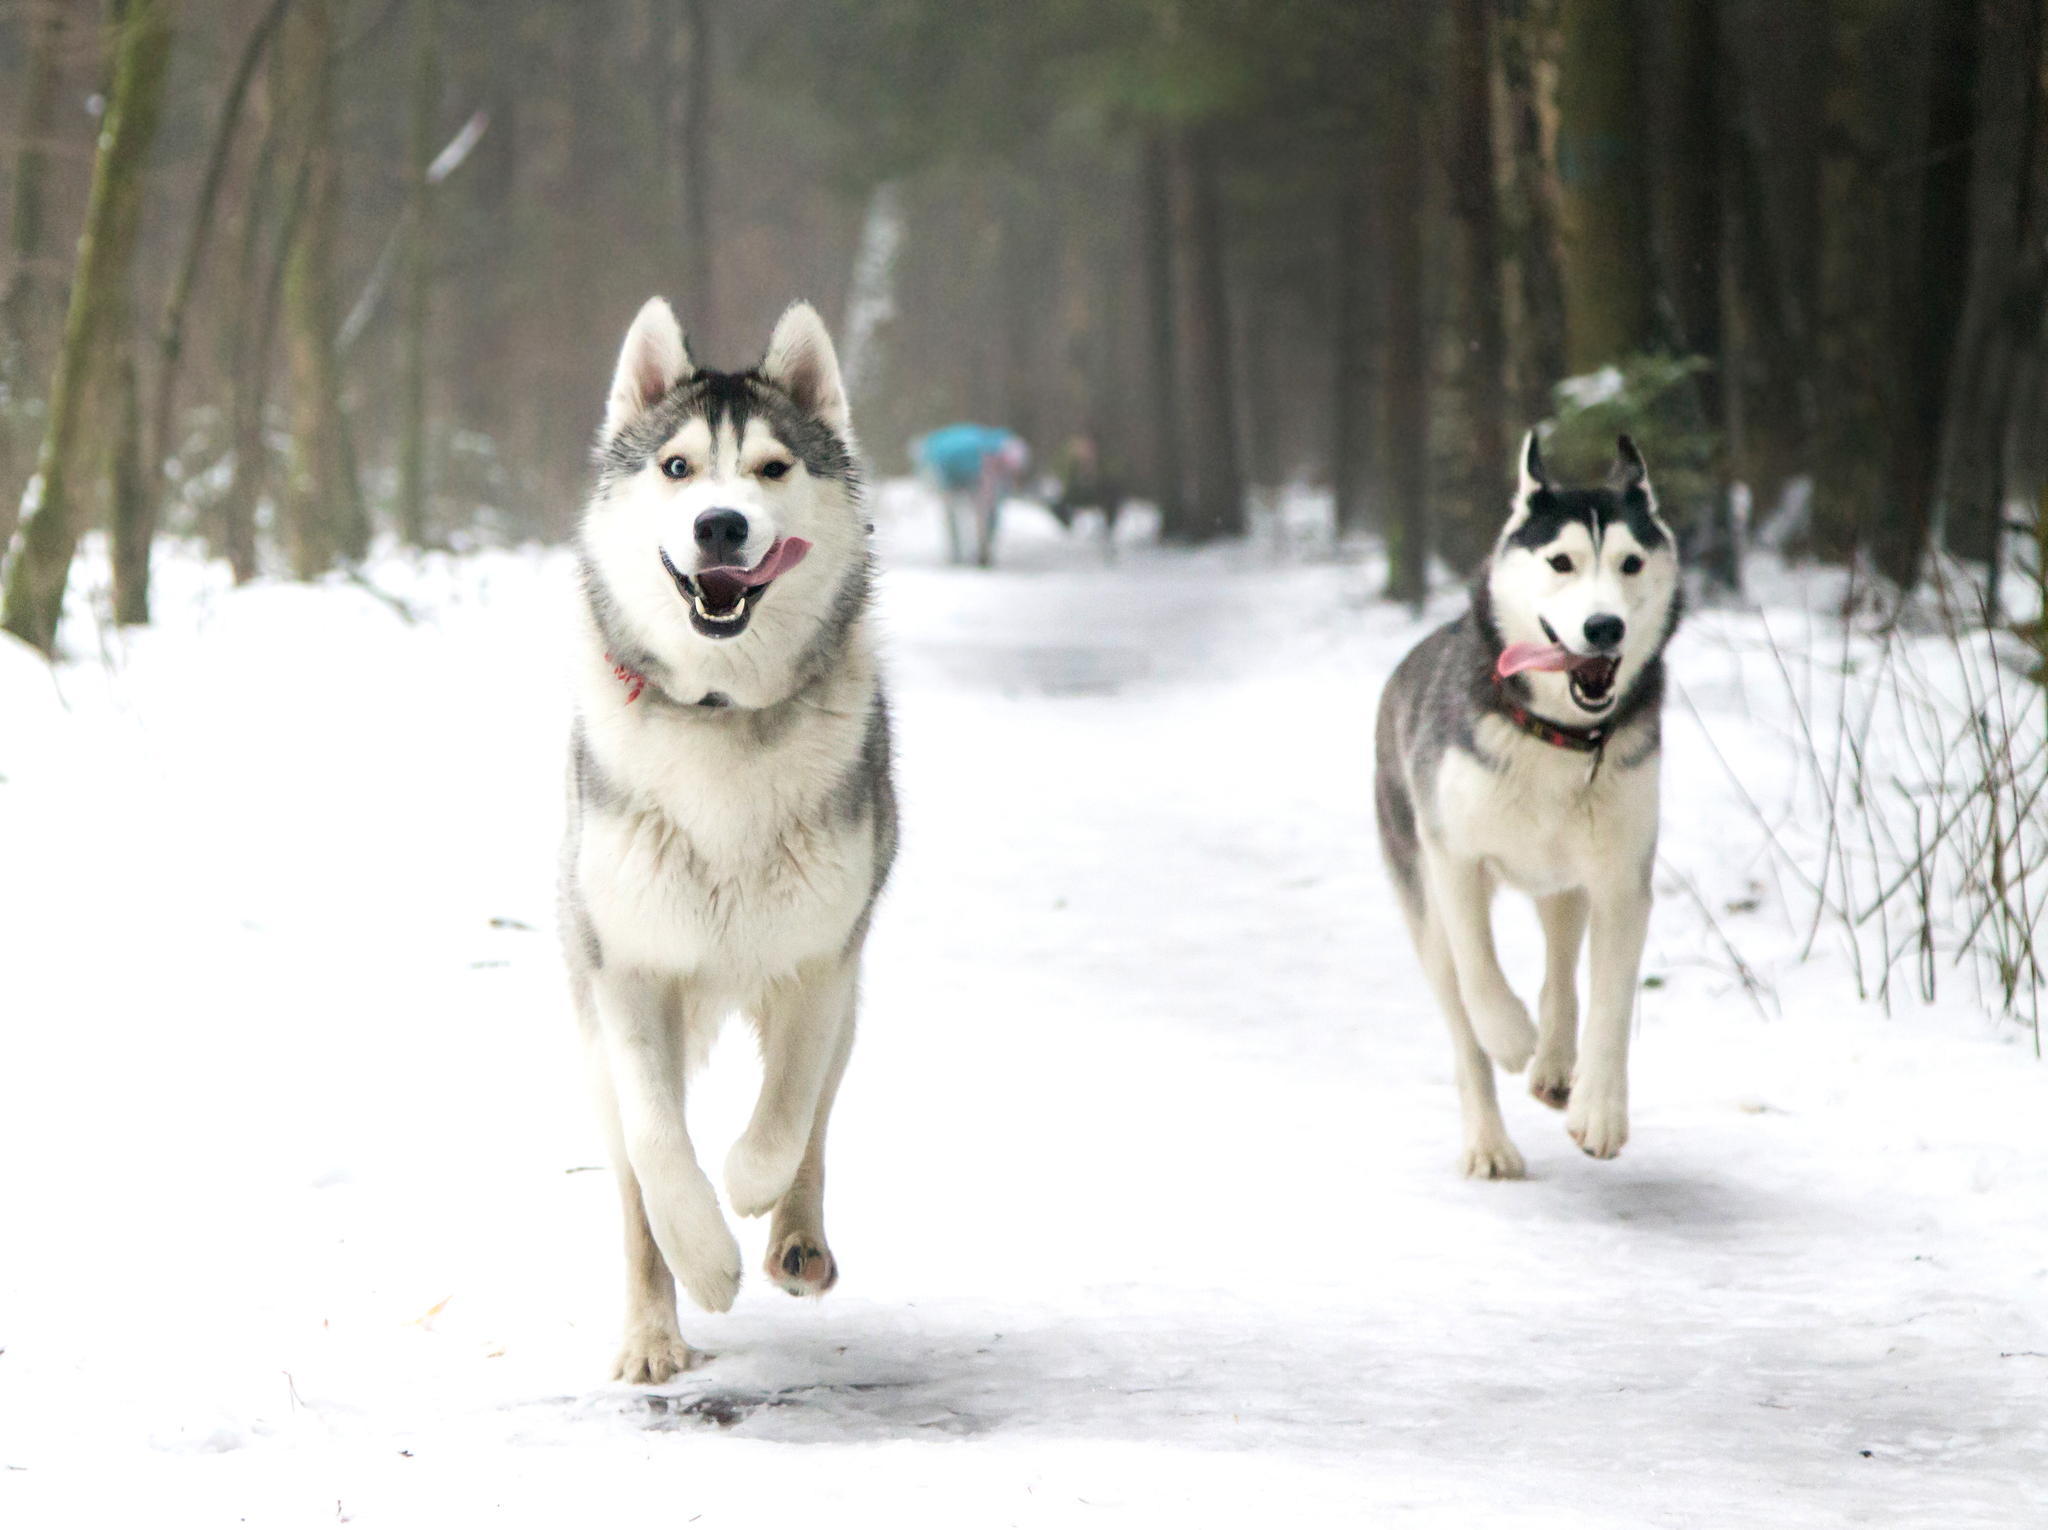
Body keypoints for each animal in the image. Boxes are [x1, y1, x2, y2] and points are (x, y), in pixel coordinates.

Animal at [561, 299, 888, 1384]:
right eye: (677, 468)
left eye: (772, 469)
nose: (720, 524)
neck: (720, 709)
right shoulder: (625, 970)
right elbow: (659, 1148)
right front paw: (703, 1260)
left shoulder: (820, 962)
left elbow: (784, 1117)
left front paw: (749, 1191)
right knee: (631, 1182)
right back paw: (652, 1335)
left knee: (818, 1119)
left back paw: (796, 1240)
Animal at [1376, 436, 1679, 1179]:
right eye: (1561, 561)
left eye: (1631, 562)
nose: (1604, 626)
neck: (1558, 738)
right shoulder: (1452, 855)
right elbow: (1479, 972)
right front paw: (1510, 1034)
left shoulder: (1623, 876)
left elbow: (1610, 998)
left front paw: (1599, 1108)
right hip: (1420, 891)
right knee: (1460, 1020)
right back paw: (1490, 1139)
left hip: (1564, 876)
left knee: (1562, 965)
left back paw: (1555, 1062)